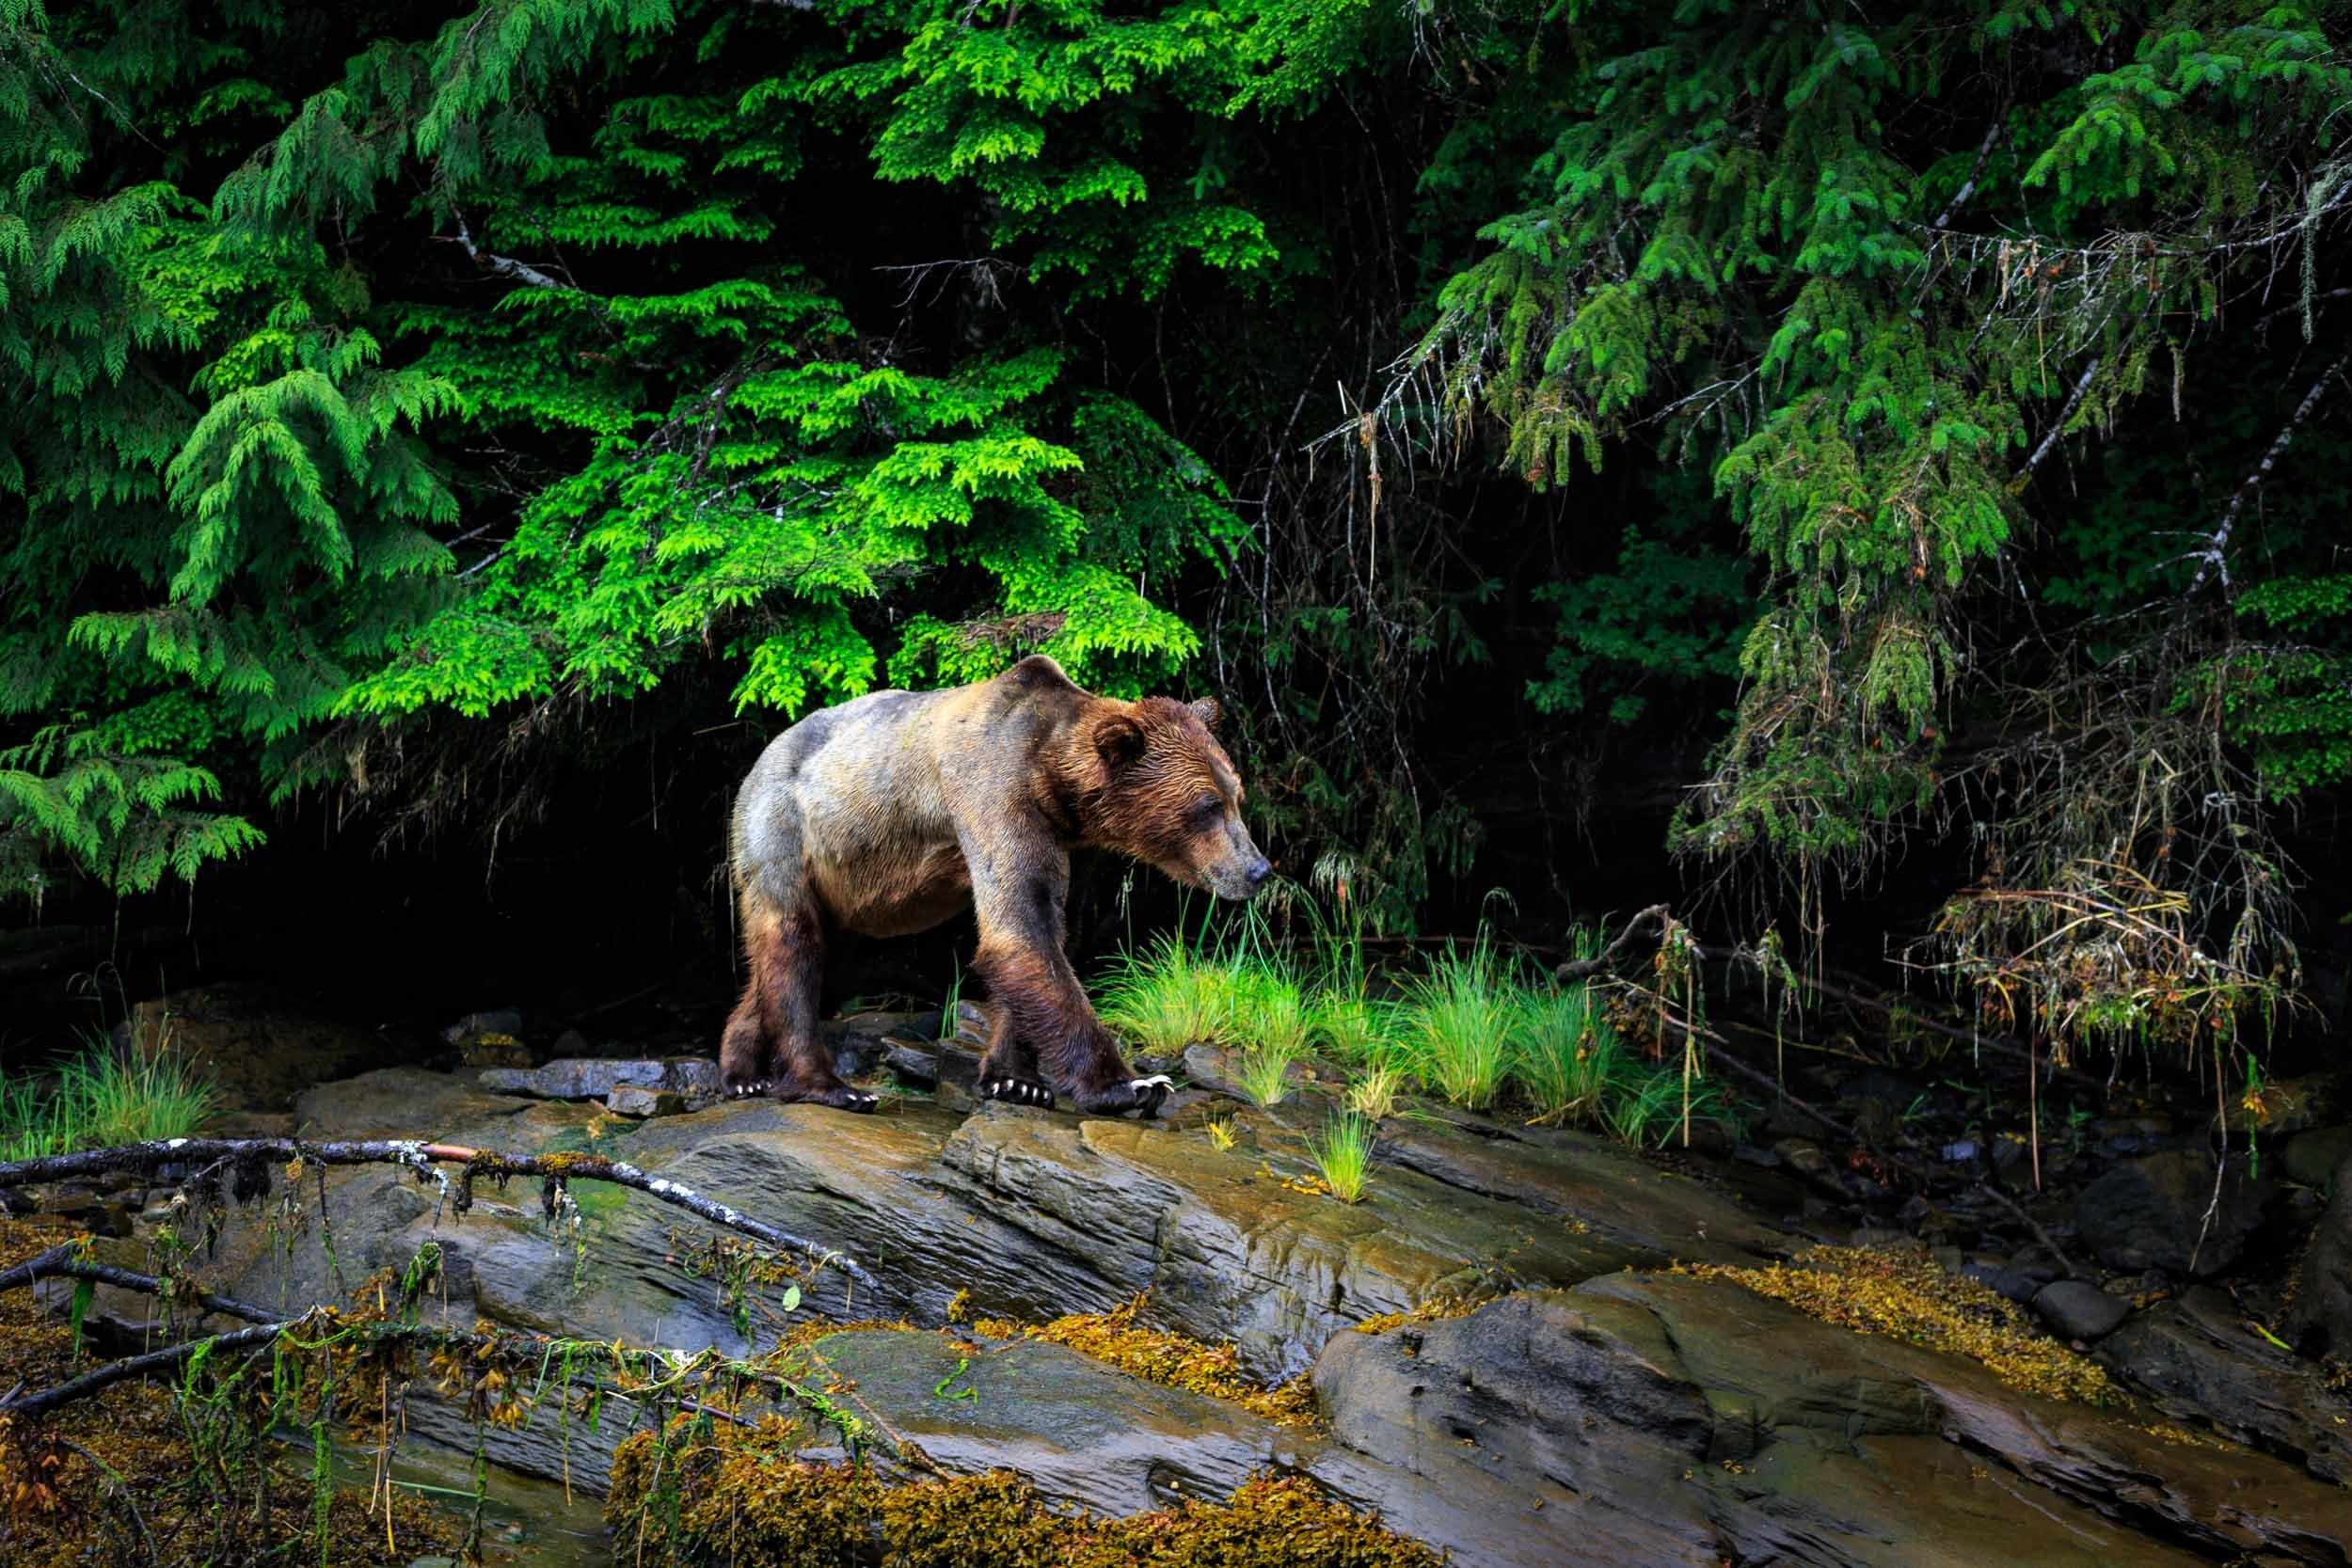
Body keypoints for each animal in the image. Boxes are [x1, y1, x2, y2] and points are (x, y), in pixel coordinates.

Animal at [719, 654, 1271, 1116]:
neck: (1052, 778)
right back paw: (830, 1086)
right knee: (793, 942)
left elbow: (1041, 927)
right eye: (1207, 806)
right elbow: (1020, 932)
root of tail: (759, 759)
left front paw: (1015, 1080)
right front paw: (1133, 1084)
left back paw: (743, 1074)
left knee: (801, 958)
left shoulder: (1060, 841)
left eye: (1236, 796)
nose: (1259, 870)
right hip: (785, 829)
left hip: (846, 887)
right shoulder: (993, 791)